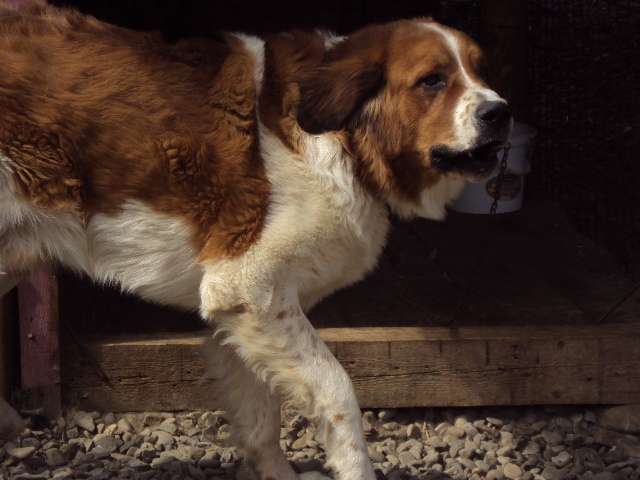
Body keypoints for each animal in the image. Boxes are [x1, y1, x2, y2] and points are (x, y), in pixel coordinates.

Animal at [0, 3, 510, 480]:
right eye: (432, 81)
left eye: (483, 72)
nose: (500, 112)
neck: (342, 140)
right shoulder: (251, 288)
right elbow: (338, 388)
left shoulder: (248, 313)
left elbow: (262, 415)